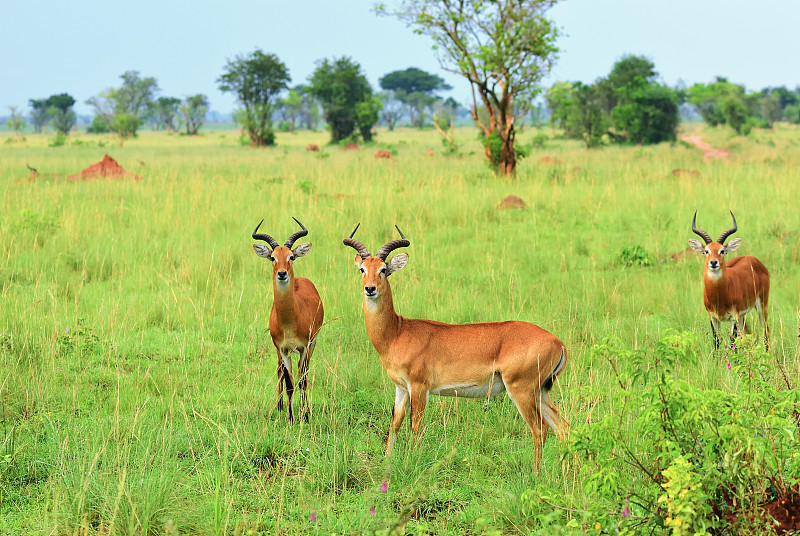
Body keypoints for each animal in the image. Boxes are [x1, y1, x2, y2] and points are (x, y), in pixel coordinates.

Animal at [252, 218, 324, 422]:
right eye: (272, 257)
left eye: (291, 256)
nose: (282, 273)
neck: (290, 322)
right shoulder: (283, 349)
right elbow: (289, 382)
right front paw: (291, 418)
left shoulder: (305, 347)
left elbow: (302, 380)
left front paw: (305, 415)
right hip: (281, 352)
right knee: (280, 371)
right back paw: (279, 405)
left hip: (312, 345)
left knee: (303, 373)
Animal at [344, 224, 568, 462]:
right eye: (362, 269)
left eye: (383, 269)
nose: (370, 289)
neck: (397, 332)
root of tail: (558, 342)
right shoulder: (401, 387)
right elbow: (394, 424)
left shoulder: (419, 387)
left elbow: (415, 427)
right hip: (541, 391)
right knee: (562, 427)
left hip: (522, 390)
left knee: (540, 429)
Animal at [688, 209, 768, 352]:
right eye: (706, 251)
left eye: (722, 251)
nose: (713, 263)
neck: (719, 295)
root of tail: (753, 259)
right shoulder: (713, 317)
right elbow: (716, 341)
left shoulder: (733, 316)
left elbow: (732, 342)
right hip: (743, 316)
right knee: (748, 335)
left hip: (761, 306)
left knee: (765, 332)